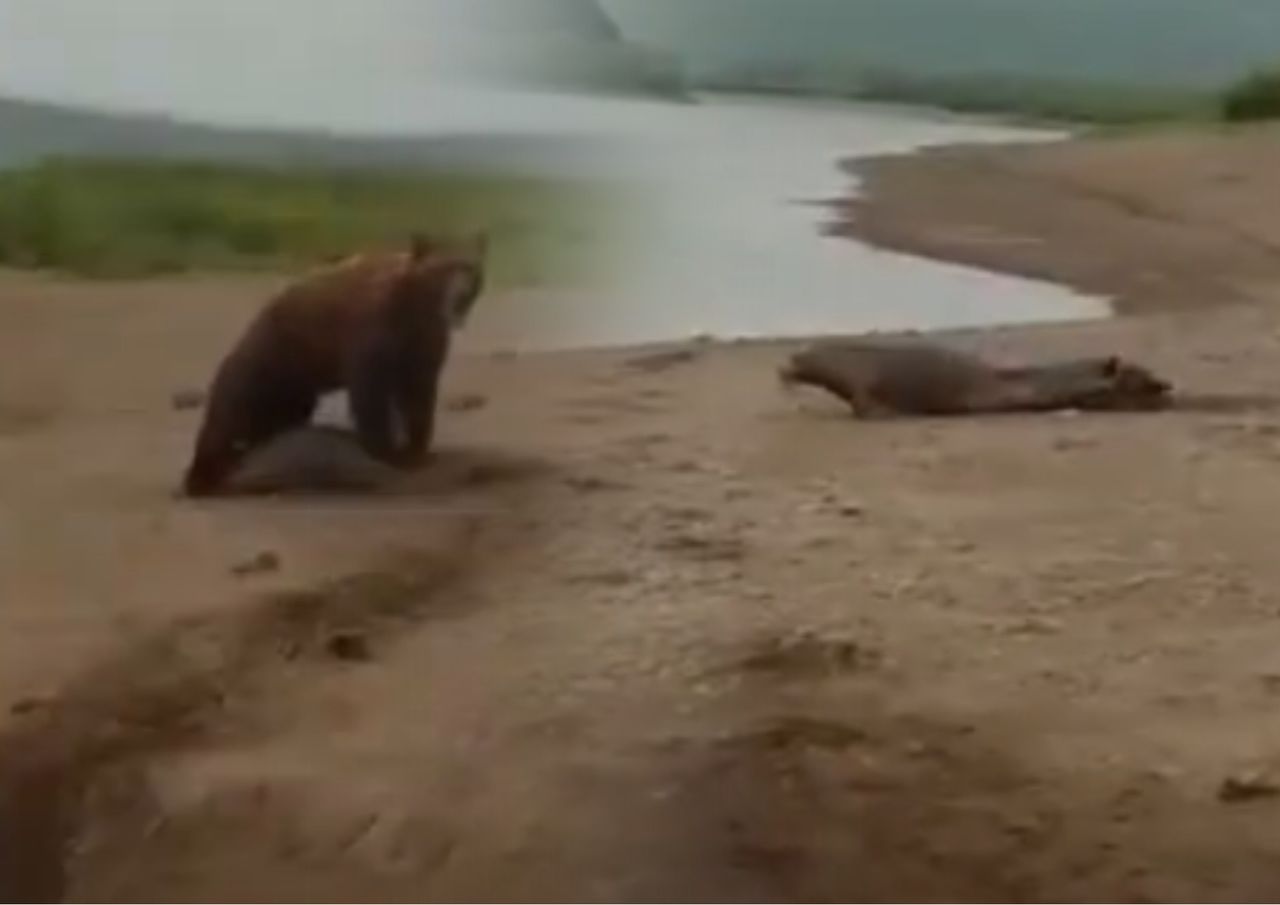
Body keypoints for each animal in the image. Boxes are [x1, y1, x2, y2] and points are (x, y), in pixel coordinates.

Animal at [182, 232, 488, 497]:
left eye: (470, 267)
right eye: (444, 268)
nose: (460, 296)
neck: (415, 309)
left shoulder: (424, 343)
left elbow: (419, 393)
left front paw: (418, 451)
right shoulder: (373, 331)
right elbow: (370, 393)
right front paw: (390, 452)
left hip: (292, 390)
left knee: (277, 419)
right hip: (265, 361)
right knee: (227, 415)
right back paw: (200, 478)